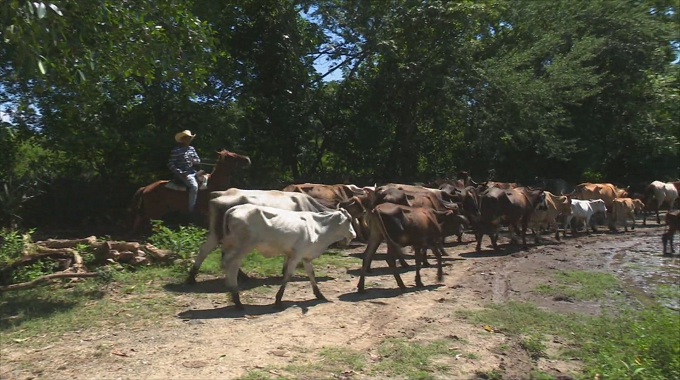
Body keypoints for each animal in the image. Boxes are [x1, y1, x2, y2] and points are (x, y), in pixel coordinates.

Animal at [219, 205, 358, 308]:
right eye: (349, 220)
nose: (354, 235)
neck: (318, 228)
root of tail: (234, 208)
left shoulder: (306, 256)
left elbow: (311, 274)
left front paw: (319, 294)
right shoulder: (296, 255)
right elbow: (288, 275)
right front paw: (278, 299)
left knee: (227, 265)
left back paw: (233, 295)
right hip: (241, 248)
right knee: (232, 266)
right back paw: (237, 299)